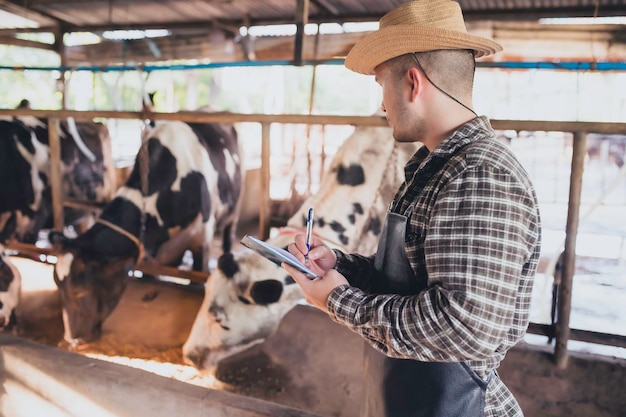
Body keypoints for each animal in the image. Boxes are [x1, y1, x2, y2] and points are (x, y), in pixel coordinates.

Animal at [48, 115, 243, 346]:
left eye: (80, 290)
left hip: (233, 210)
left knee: (229, 236)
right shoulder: (149, 254)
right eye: (57, 285)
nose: (71, 339)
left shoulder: (201, 238)